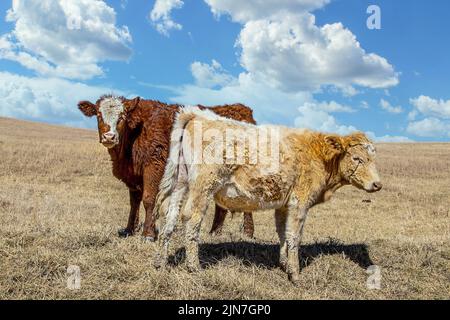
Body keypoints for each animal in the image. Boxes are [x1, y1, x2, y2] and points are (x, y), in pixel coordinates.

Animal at [77, 96, 256, 241]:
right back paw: (214, 232)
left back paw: (247, 233)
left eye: (122, 117)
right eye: (99, 115)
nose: (109, 137)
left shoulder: (154, 166)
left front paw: (148, 234)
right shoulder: (133, 175)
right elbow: (134, 202)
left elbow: (149, 199)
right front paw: (129, 229)